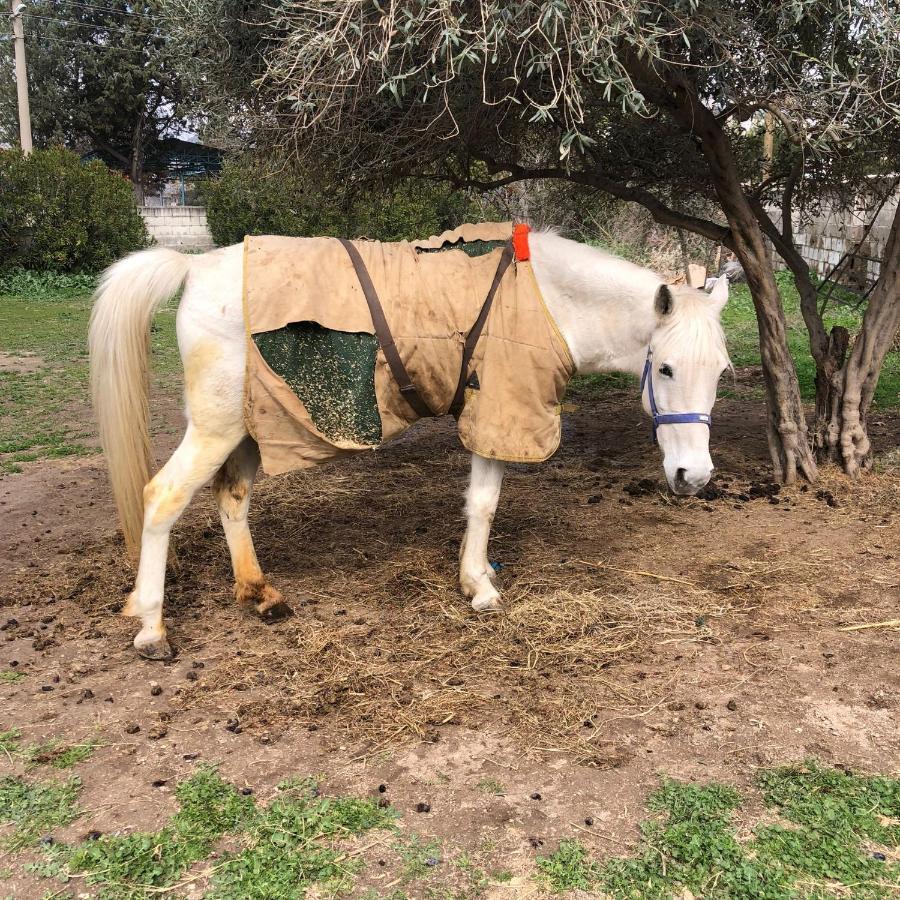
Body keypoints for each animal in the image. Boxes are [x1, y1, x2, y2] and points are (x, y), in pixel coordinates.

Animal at [88, 230, 728, 660]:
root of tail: (195, 267)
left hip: (248, 426)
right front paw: (480, 587)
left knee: (232, 498)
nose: (693, 476)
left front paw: (476, 576)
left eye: (720, 370)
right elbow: (485, 504)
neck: (548, 301)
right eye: (665, 368)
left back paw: (258, 592)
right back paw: (152, 626)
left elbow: (480, 503)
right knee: (162, 498)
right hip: (215, 428)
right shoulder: (498, 412)